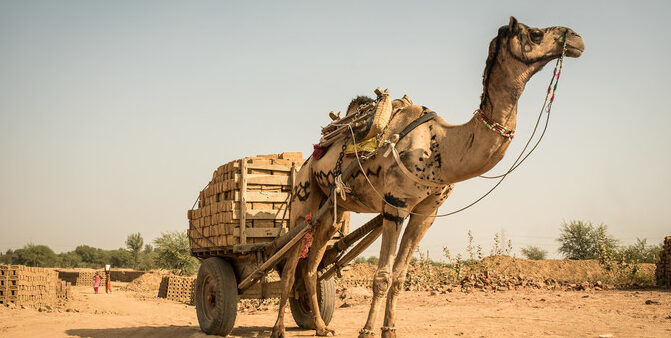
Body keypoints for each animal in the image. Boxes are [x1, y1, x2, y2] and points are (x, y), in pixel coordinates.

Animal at [270, 17, 584, 338]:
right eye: (536, 34)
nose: (576, 39)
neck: (441, 144)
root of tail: (307, 160)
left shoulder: (426, 212)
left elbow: (399, 277)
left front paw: (390, 330)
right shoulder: (395, 205)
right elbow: (382, 276)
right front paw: (367, 331)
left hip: (333, 213)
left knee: (311, 267)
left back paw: (322, 327)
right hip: (303, 201)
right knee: (290, 266)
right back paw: (278, 329)